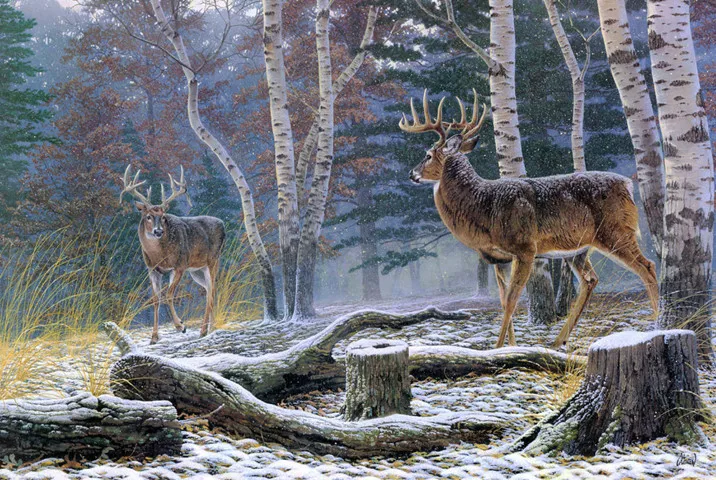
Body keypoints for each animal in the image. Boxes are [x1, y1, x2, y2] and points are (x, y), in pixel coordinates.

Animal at [120, 165, 225, 344]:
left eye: (163, 217)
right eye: (148, 216)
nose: (158, 231)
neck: (159, 255)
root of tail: (222, 223)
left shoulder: (179, 265)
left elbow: (169, 294)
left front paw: (180, 326)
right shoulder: (152, 269)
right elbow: (156, 299)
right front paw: (154, 337)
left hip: (213, 260)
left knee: (211, 292)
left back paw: (203, 330)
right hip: (197, 270)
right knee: (210, 289)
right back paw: (211, 327)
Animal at [399, 91, 659, 348]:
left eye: (428, 155)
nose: (411, 173)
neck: (483, 206)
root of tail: (627, 185)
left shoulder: (524, 248)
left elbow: (513, 299)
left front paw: (498, 347)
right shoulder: (498, 257)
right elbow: (503, 300)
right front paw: (510, 346)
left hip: (616, 232)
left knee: (647, 267)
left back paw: (657, 322)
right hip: (579, 249)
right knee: (591, 279)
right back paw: (558, 341)